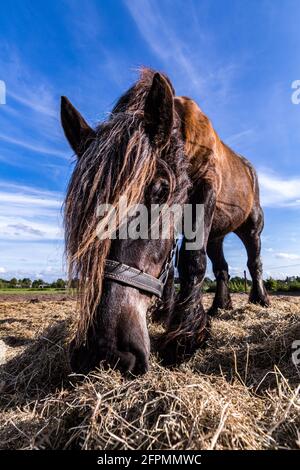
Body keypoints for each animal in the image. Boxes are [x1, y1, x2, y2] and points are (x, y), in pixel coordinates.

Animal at [61, 67, 270, 374]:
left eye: (160, 190)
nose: (105, 351)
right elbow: (171, 269)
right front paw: (166, 314)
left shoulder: (204, 191)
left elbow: (192, 261)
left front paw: (185, 337)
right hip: (217, 234)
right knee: (222, 268)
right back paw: (220, 306)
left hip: (251, 227)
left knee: (254, 262)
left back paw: (260, 299)